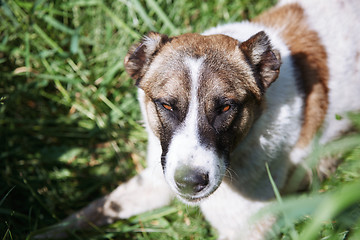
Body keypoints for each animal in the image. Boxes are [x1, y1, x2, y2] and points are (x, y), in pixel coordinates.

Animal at [40, 0, 360, 240]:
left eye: (226, 107)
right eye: (166, 105)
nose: (189, 184)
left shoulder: (244, 230)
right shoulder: (155, 180)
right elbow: (94, 210)